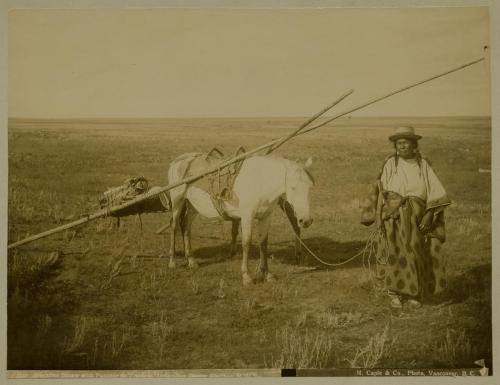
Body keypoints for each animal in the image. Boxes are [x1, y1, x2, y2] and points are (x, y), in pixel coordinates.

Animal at [170, 154, 314, 284]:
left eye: (310, 187)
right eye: (293, 187)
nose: (305, 220)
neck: (261, 181)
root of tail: (178, 160)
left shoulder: (266, 216)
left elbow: (263, 244)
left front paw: (267, 274)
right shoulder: (247, 216)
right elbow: (246, 243)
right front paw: (246, 276)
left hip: (192, 206)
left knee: (186, 228)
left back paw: (191, 261)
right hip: (177, 202)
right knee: (174, 227)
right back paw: (172, 261)